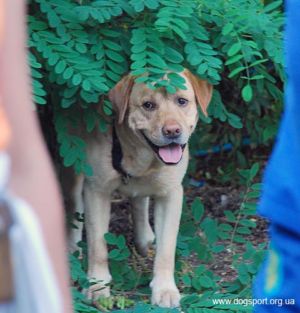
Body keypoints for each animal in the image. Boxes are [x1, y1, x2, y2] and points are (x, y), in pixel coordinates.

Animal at [69, 69, 212, 306]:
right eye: (148, 105)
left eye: (182, 101)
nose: (172, 130)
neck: (142, 160)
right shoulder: (96, 190)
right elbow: (98, 246)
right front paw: (97, 286)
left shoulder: (171, 194)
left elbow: (167, 248)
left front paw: (164, 289)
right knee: (73, 203)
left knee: (139, 201)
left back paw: (145, 238)